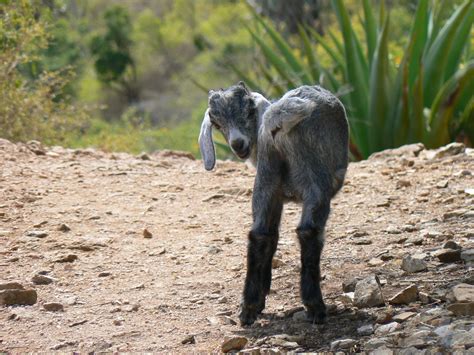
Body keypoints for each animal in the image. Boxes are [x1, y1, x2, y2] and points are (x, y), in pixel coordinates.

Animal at [197, 82, 348, 326]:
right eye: (217, 122)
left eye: (249, 112)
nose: (237, 144)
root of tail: (275, 119)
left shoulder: (276, 197)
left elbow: (272, 236)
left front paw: (261, 296)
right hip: (315, 178)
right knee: (308, 231)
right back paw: (315, 307)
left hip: (266, 177)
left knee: (258, 234)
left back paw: (248, 308)